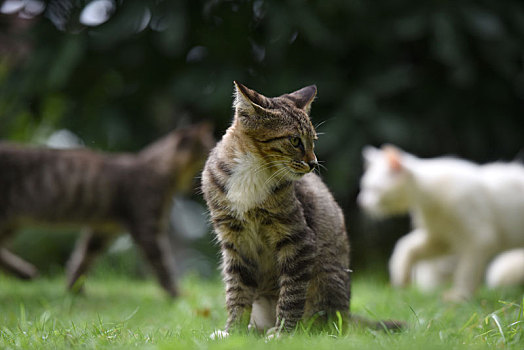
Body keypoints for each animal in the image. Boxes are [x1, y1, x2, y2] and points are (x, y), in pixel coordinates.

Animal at [0, 123, 214, 296]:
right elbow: (162, 265)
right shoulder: (147, 229)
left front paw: (74, 288)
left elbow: (82, 259)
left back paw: (24, 273)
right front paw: (176, 294)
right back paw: (25, 271)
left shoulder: (103, 230)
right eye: (207, 149)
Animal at [202, 82, 402, 336]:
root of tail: (347, 318)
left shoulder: (298, 239)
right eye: (295, 140)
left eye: (313, 141)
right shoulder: (235, 241)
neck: (252, 174)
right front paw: (233, 332)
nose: (314, 163)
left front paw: (283, 333)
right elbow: (237, 290)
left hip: (326, 284)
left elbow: (292, 293)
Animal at [358, 145, 524, 300]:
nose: (360, 202)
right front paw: (401, 279)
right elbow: (405, 246)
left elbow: (467, 271)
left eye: (373, 189)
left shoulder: (480, 239)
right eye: (363, 187)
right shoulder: (442, 238)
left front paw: (459, 296)